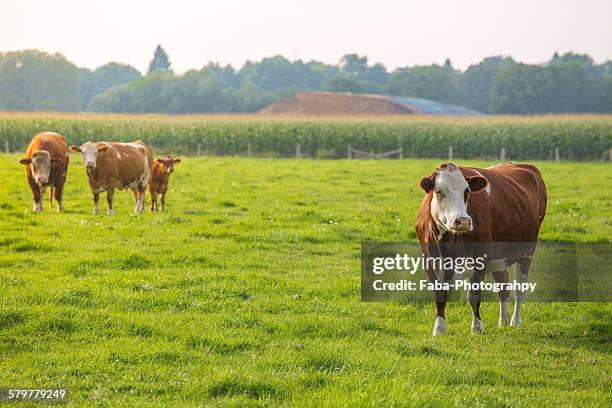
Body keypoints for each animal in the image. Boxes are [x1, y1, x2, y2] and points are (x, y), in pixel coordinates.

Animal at [414, 162, 548, 334]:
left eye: (467, 191)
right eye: (439, 191)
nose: (463, 221)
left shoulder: (480, 259)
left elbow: (473, 296)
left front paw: (477, 328)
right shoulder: (429, 260)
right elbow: (440, 295)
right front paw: (439, 329)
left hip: (527, 251)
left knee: (519, 288)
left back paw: (515, 321)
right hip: (499, 257)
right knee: (503, 285)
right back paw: (503, 321)